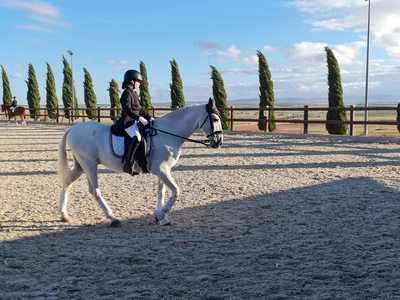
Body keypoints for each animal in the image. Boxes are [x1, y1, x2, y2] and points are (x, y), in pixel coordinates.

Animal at [57, 98, 223, 225]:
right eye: (215, 119)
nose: (219, 142)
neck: (167, 134)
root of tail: (72, 129)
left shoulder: (163, 170)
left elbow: (161, 191)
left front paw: (160, 216)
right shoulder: (161, 170)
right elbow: (176, 191)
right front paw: (162, 213)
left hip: (81, 166)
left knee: (67, 183)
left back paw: (64, 215)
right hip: (89, 165)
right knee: (95, 191)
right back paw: (112, 218)